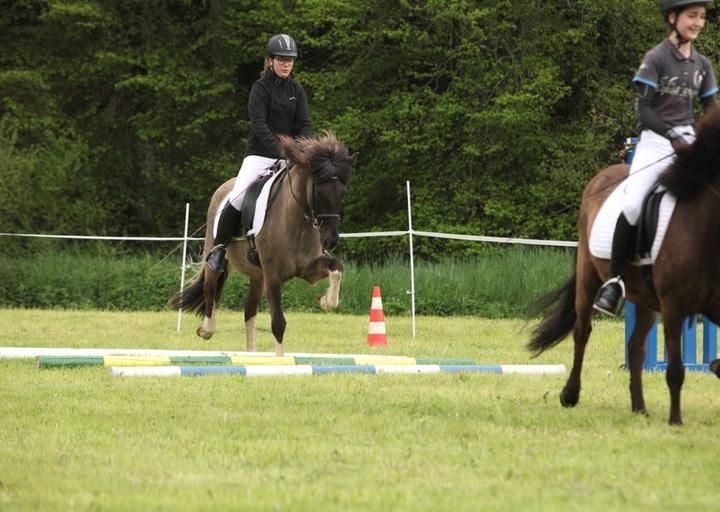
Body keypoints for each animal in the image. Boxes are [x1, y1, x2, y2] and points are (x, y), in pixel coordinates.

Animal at [172, 132, 358, 356]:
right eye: (319, 191)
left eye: (342, 192)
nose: (331, 240)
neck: (296, 221)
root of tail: (224, 187)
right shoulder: (273, 274)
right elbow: (278, 322)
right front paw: (280, 359)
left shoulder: (307, 269)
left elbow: (336, 268)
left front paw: (325, 301)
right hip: (216, 253)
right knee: (210, 286)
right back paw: (206, 329)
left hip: (257, 276)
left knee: (249, 310)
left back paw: (251, 354)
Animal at [528, 110, 720, 426]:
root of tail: (600, 178)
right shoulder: (673, 305)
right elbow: (676, 368)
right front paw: (676, 420)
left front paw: (714, 367)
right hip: (589, 279)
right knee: (582, 331)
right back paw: (570, 394)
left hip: (642, 298)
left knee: (636, 347)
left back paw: (639, 406)